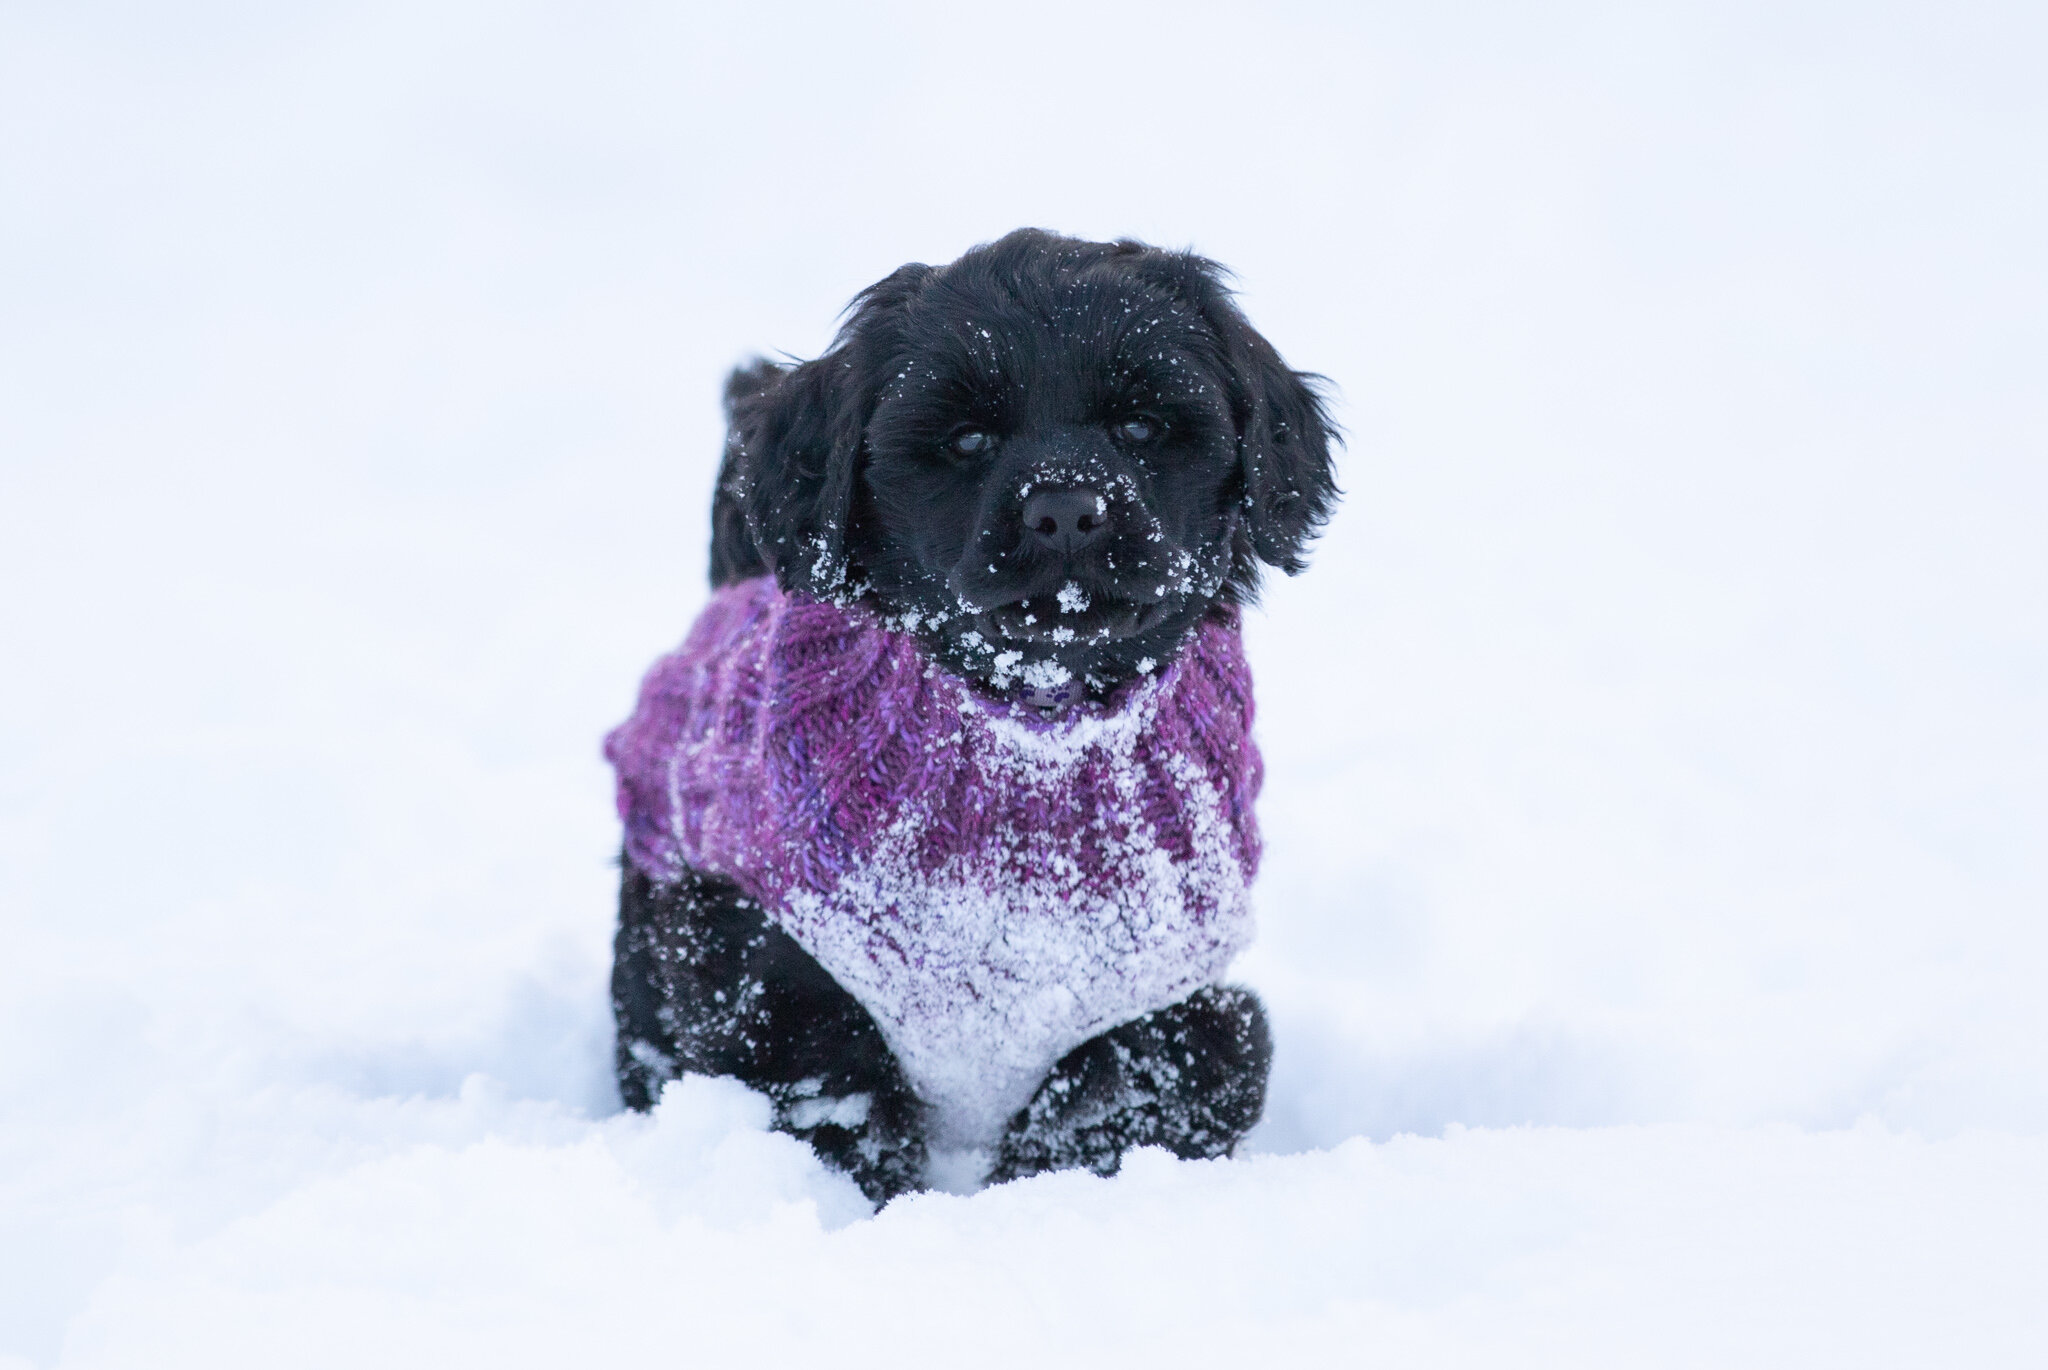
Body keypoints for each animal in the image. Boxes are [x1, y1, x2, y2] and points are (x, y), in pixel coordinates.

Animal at [614, 229, 1335, 1204]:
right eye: (965, 438)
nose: (1065, 508)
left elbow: (1132, 1084)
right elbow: (828, 1085)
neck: (1035, 735)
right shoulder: (754, 947)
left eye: (1143, 428)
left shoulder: (1185, 1001)